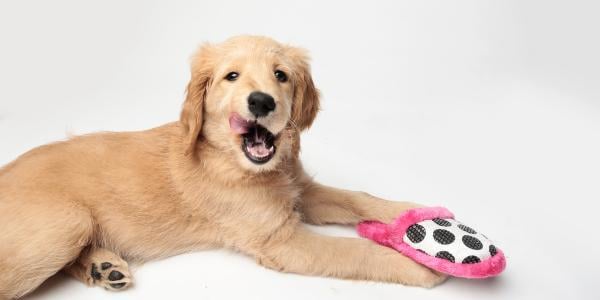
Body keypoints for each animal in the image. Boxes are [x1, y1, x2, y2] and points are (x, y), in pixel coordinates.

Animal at [0, 35, 446, 298]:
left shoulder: (302, 190)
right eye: (232, 76)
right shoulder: (280, 241)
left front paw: (414, 213)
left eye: (281, 75)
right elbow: (355, 250)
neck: (240, 163)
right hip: (65, 224)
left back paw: (102, 268)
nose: (261, 101)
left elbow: (357, 196)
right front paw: (418, 265)